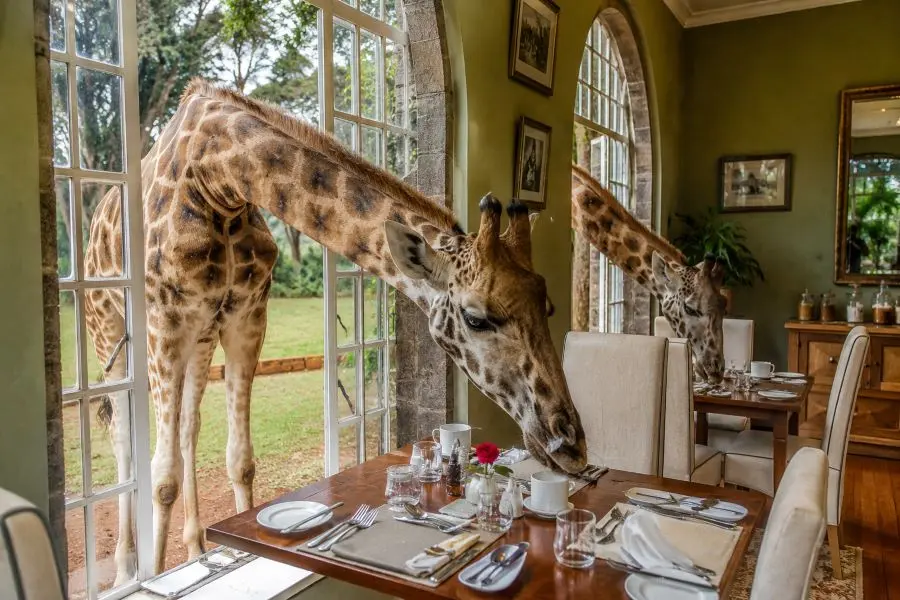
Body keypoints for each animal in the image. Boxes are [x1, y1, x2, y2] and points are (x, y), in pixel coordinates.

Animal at [84, 79, 589, 583]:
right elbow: (161, 477)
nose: (571, 447)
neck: (218, 179)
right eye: (476, 318)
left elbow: (239, 461)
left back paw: (193, 549)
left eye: (548, 307)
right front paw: (153, 578)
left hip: (202, 335)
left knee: (189, 428)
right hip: (111, 331)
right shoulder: (165, 320)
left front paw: (230, 558)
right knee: (125, 437)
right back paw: (127, 570)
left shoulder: (246, 317)